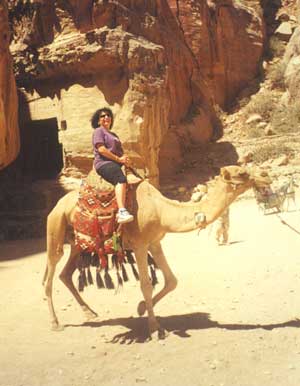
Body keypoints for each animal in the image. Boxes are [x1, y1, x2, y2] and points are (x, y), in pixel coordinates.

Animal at [44, 165, 272, 338]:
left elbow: (172, 281)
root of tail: (57, 205)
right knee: (49, 275)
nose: (266, 175)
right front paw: (154, 329)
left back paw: (89, 312)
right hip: (55, 229)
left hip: (77, 244)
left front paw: (141, 308)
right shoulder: (140, 245)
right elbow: (146, 284)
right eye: (241, 172)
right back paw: (55, 323)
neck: (162, 211)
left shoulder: (155, 243)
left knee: (65, 274)